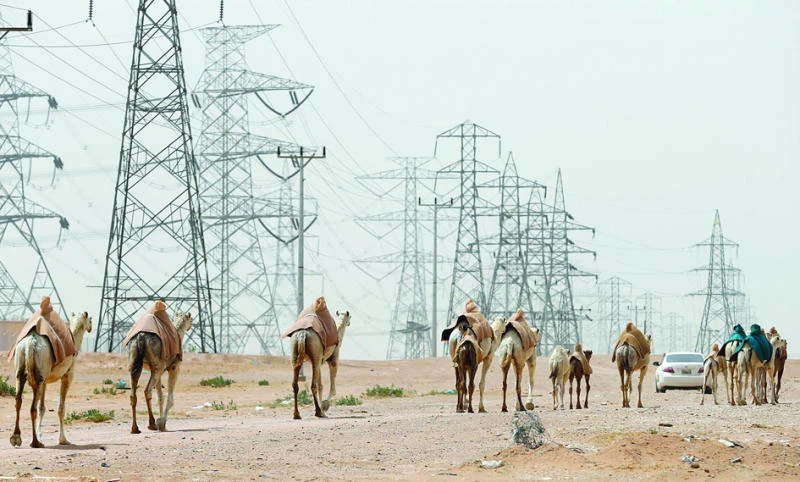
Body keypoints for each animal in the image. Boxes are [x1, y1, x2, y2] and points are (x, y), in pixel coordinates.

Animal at [10, 311, 92, 448]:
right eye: (90, 320)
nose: (90, 328)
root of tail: (30, 343)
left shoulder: (45, 381)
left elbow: (42, 408)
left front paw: (41, 436)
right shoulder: (67, 375)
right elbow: (60, 409)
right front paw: (63, 440)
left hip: (21, 371)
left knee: (18, 401)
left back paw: (16, 438)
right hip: (38, 376)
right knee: (32, 407)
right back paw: (35, 442)